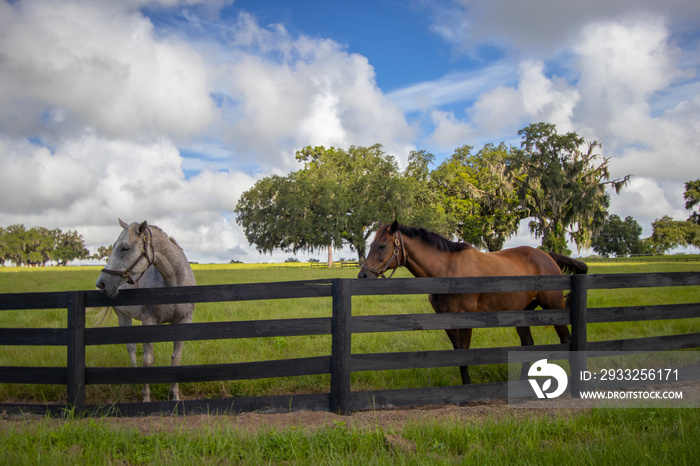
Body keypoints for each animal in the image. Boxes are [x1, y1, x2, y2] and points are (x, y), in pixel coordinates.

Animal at [94, 220, 196, 402]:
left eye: (125, 248)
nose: (102, 283)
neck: (173, 283)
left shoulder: (184, 321)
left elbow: (176, 359)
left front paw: (175, 395)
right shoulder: (149, 321)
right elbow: (148, 361)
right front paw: (146, 397)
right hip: (123, 317)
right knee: (131, 348)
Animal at [358, 220, 588, 384]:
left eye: (382, 245)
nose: (363, 275)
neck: (447, 271)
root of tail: (547, 256)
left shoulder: (465, 320)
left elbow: (465, 353)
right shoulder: (447, 321)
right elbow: (458, 353)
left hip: (554, 308)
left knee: (566, 341)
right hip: (522, 313)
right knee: (527, 346)